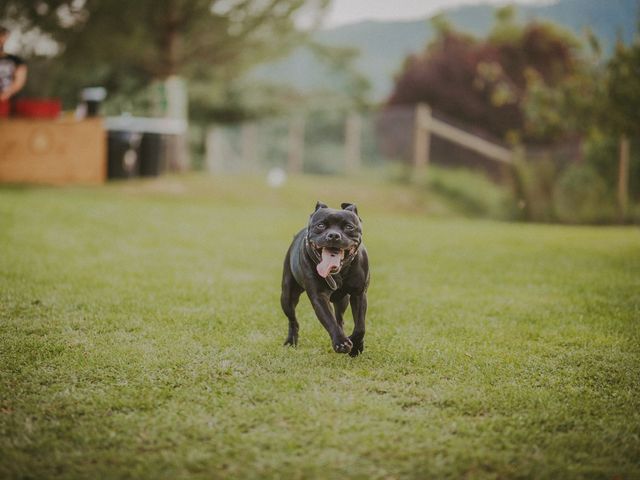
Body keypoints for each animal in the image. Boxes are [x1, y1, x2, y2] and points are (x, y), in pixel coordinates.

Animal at [282, 202, 370, 356]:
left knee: (339, 319)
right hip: (287, 297)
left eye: (349, 227)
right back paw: (290, 341)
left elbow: (360, 326)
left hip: (343, 301)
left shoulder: (359, 294)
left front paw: (356, 346)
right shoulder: (319, 296)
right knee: (293, 320)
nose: (333, 235)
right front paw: (341, 342)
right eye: (321, 225)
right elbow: (329, 320)